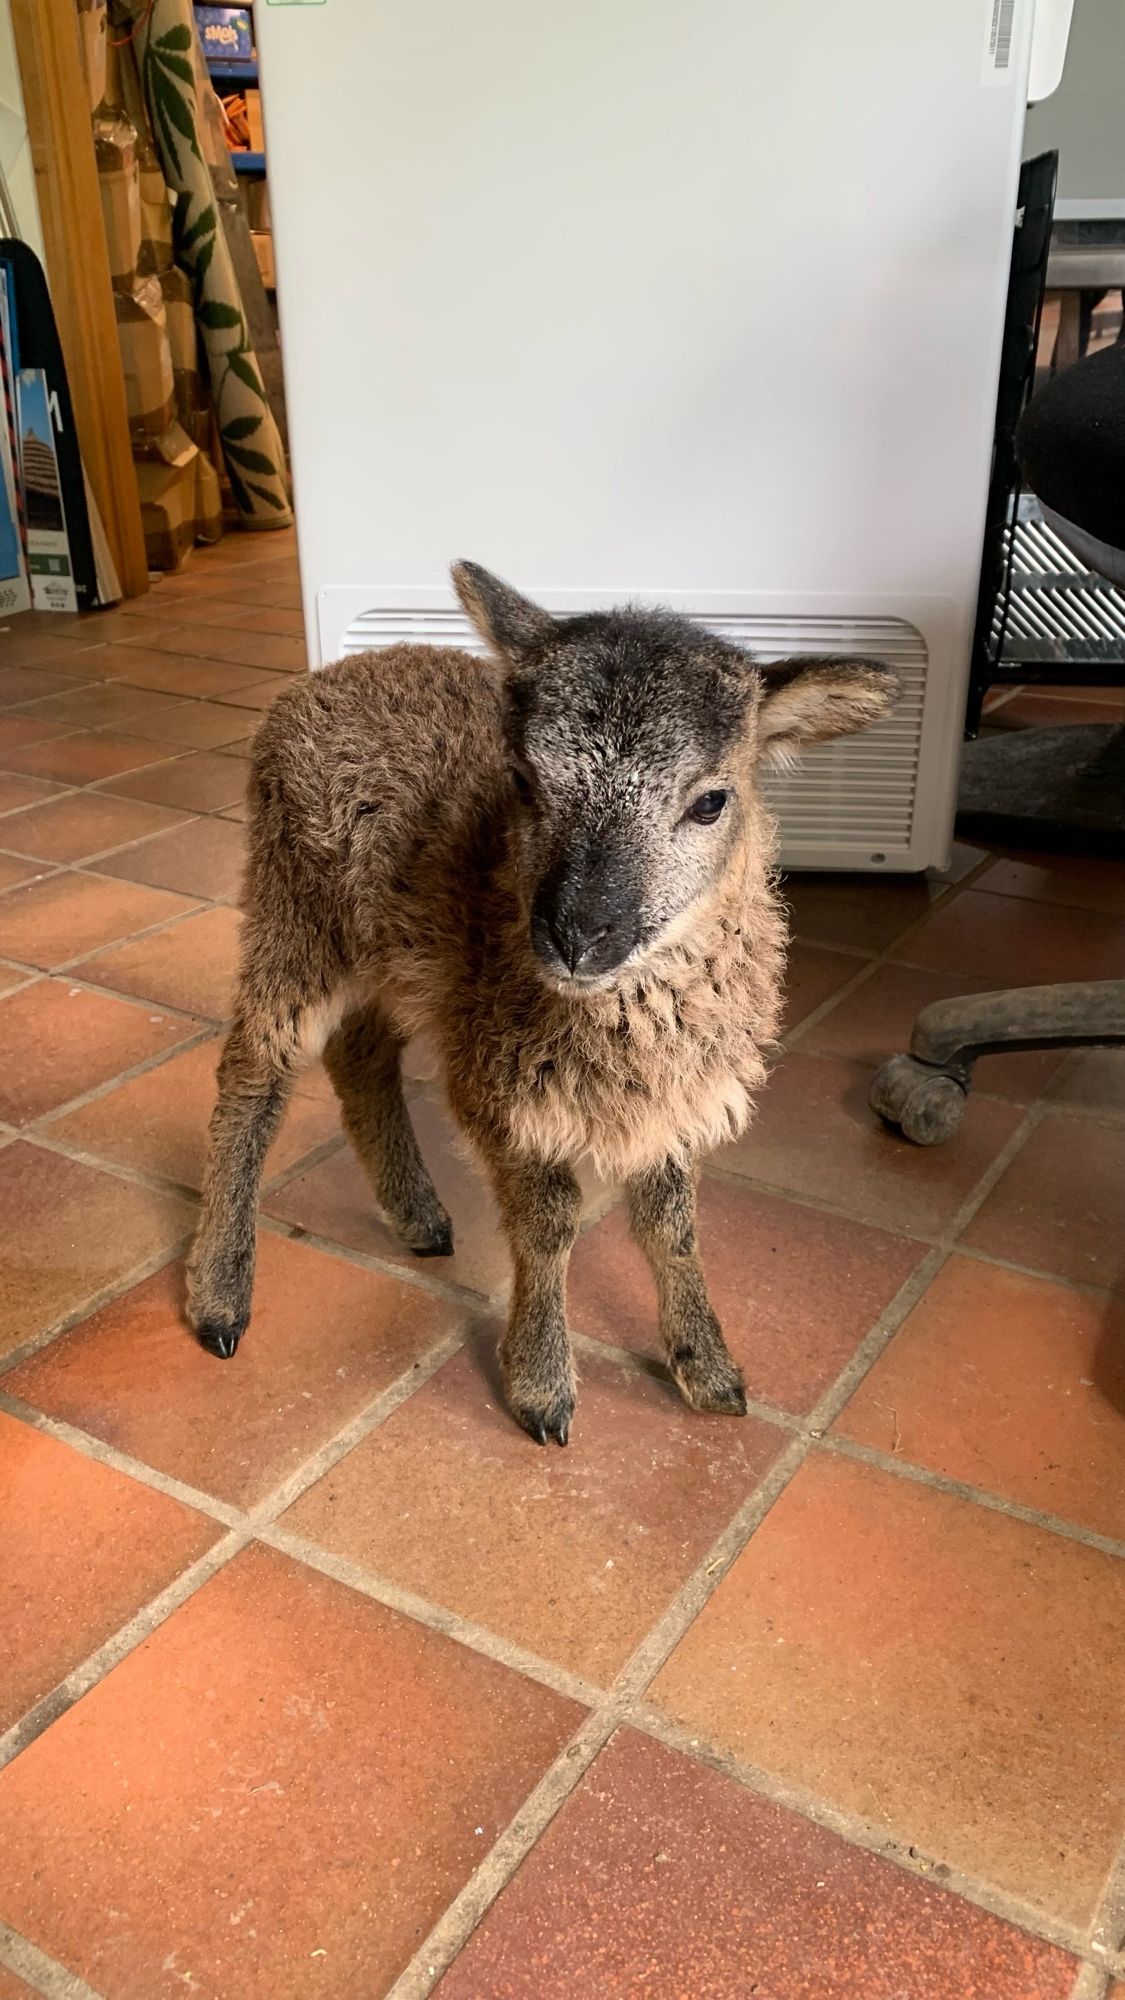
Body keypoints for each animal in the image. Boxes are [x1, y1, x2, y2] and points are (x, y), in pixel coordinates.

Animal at [190, 560, 892, 1440]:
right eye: (522, 781)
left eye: (711, 801)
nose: (577, 934)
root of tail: (339, 670)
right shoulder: (495, 1085)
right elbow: (549, 1221)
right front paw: (541, 1384)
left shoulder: (672, 1094)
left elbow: (672, 1222)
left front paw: (707, 1367)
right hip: (292, 913)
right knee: (251, 1077)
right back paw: (219, 1297)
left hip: (392, 951)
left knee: (360, 1054)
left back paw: (417, 1216)